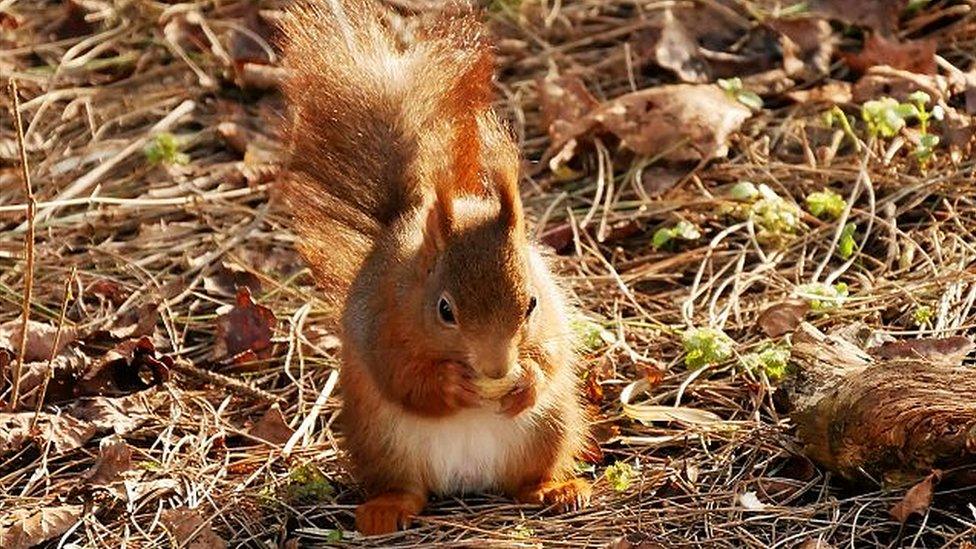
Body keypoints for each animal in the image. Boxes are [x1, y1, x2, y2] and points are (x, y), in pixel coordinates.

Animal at [278, 0, 592, 532]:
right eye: (445, 310)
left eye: (530, 304)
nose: (496, 367)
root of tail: (469, 480)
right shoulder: (380, 319)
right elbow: (403, 376)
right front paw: (449, 383)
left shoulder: (552, 315)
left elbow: (552, 358)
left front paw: (526, 380)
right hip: (383, 442)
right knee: (409, 488)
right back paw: (386, 510)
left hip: (550, 428)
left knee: (527, 479)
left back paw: (556, 489)